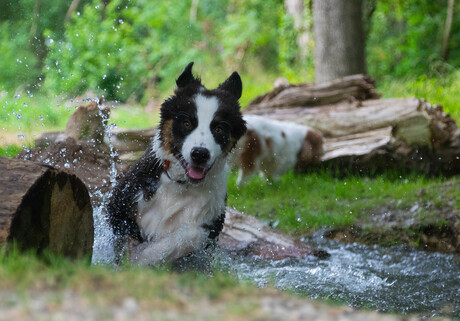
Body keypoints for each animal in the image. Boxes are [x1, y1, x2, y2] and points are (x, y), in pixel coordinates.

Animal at [106, 62, 246, 264]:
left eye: (219, 128)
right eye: (187, 123)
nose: (200, 154)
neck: (181, 185)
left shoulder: (212, 223)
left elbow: (189, 235)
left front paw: (146, 257)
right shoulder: (120, 202)